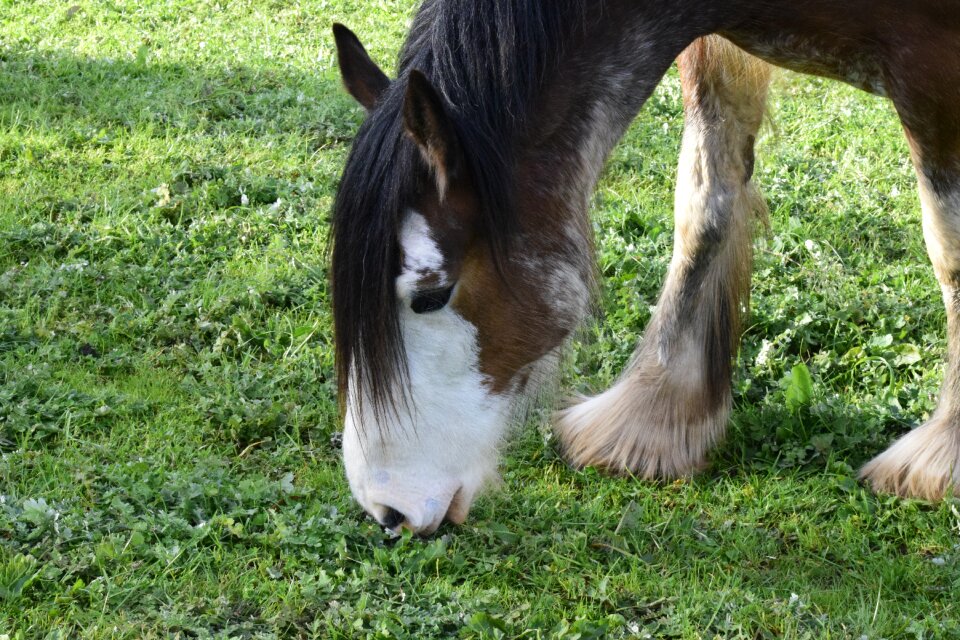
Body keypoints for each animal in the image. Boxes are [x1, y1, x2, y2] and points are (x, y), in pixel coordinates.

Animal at [330, 0, 960, 532]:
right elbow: (705, 204)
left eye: (431, 297)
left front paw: (945, 454)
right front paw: (655, 414)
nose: (387, 508)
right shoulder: (714, 48)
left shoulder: (934, 68)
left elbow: (948, 246)